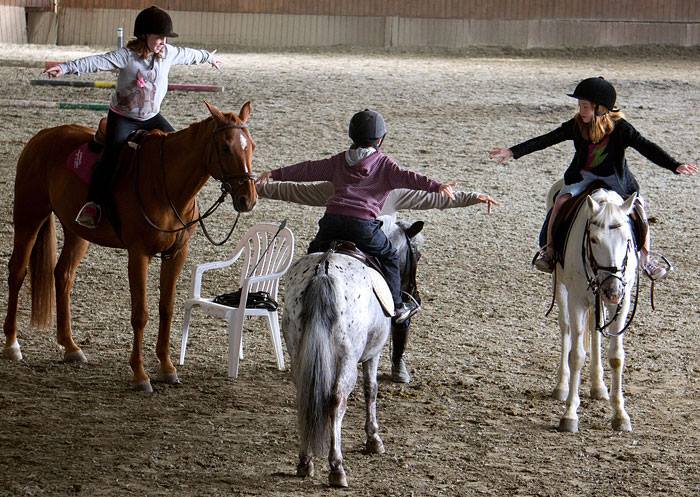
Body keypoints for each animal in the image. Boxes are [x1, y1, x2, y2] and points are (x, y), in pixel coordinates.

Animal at [2, 101, 257, 393]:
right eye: (225, 147)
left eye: (251, 145)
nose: (247, 199)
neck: (165, 184)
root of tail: (43, 135)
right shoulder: (139, 254)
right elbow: (140, 314)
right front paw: (140, 374)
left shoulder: (176, 254)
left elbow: (166, 309)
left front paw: (167, 368)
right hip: (29, 216)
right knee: (17, 272)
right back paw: (12, 344)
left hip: (77, 233)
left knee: (63, 275)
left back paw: (71, 347)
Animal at [282, 217, 424, 488]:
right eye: (418, 254)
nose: (415, 295)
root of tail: (323, 271)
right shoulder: (373, 353)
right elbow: (372, 389)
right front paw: (374, 439)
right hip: (347, 360)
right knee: (336, 401)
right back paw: (336, 467)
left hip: (298, 352)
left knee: (306, 396)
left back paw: (305, 462)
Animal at [550, 187, 639, 432]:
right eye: (594, 239)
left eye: (627, 239)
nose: (612, 290)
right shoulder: (577, 300)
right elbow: (577, 355)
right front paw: (570, 415)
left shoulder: (622, 303)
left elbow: (616, 357)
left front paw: (620, 415)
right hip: (562, 288)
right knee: (566, 328)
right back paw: (562, 386)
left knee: (596, 330)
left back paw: (599, 387)